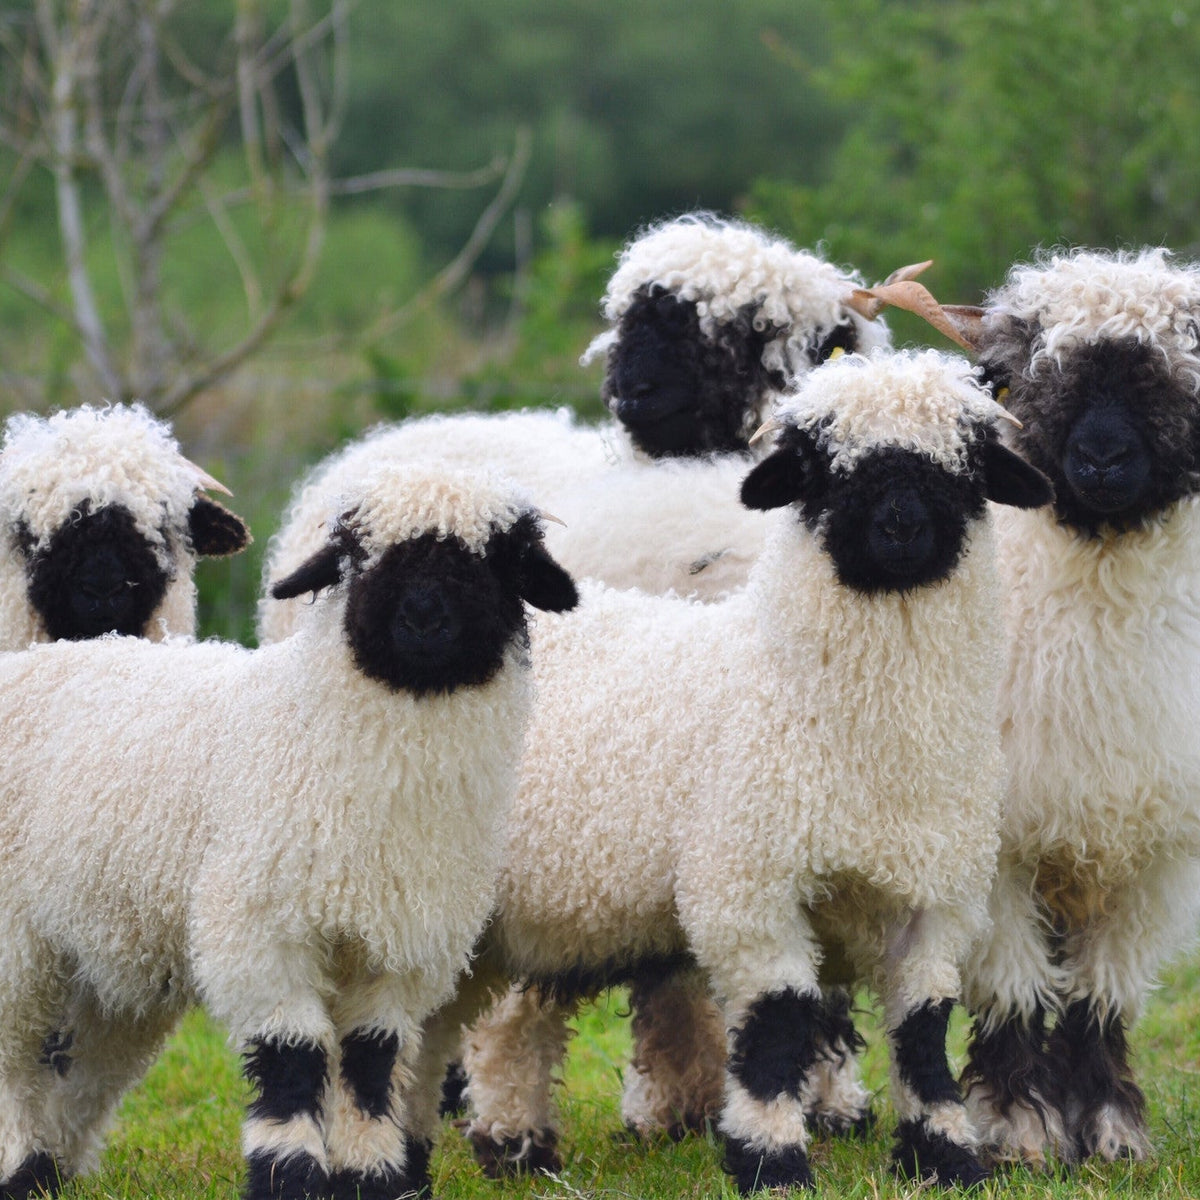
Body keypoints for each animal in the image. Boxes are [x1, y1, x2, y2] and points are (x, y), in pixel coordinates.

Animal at [0, 461, 577, 1200]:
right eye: (359, 554)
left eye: (494, 560)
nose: (421, 618)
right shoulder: (261, 928)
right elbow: (292, 1058)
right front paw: (290, 1175)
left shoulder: (402, 944)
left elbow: (370, 1061)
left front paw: (371, 1175)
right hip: (21, 944)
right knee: (19, 1062)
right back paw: (22, 1166)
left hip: (105, 948)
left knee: (81, 1065)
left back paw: (49, 1167)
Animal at [405, 348, 1054, 1193]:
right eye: (822, 467)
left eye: (965, 465)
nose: (901, 528)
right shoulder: (749, 885)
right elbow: (777, 1026)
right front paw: (772, 1162)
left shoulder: (936, 900)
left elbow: (923, 1030)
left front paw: (945, 1156)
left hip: (549, 905)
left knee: (503, 1018)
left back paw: (511, 1148)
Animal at [890, 248, 1200, 1167]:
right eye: (1021, 378)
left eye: (1174, 379)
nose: (1099, 458)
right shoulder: (999, 848)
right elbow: (1016, 992)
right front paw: (1020, 1129)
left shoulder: (1153, 852)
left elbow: (1104, 996)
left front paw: (1110, 1127)